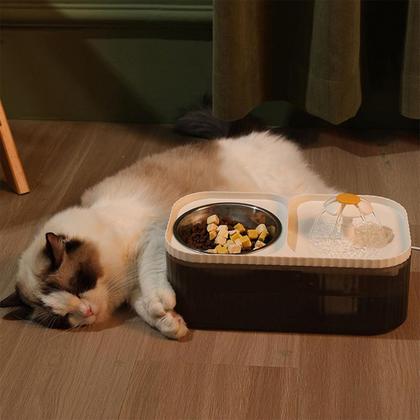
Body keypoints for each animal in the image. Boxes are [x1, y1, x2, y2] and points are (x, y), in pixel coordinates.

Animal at [0, 110, 334, 338]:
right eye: (62, 319)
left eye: (79, 284)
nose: (87, 312)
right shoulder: (133, 288)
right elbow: (146, 306)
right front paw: (170, 323)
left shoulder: (153, 237)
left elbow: (152, 277)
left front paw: (165, 306)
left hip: (297, 195)